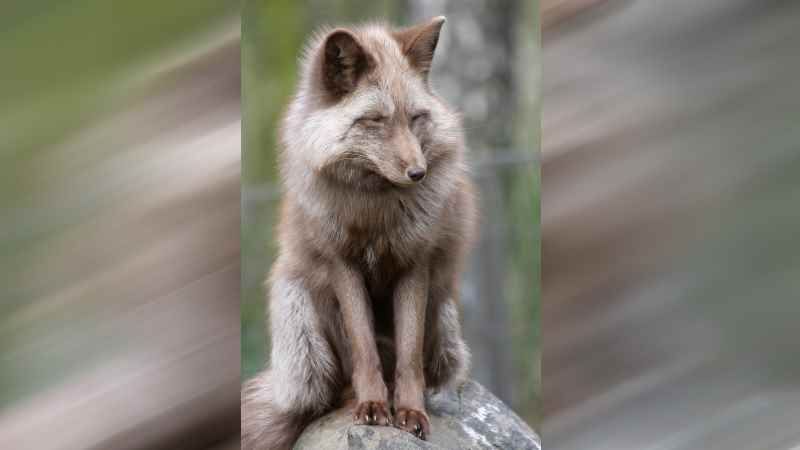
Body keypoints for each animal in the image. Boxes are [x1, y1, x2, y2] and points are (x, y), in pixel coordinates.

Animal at [241, 16, 477, 450]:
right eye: (375, 121)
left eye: (416, 118)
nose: (418, 173)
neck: (375, 214)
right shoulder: (342, 264)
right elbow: (363, 349)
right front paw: (372, 407)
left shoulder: (414, 264)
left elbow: (409, 357)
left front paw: (410, 413)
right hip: (295, 303)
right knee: (327, 393)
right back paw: (352, 397)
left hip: (445, 323)